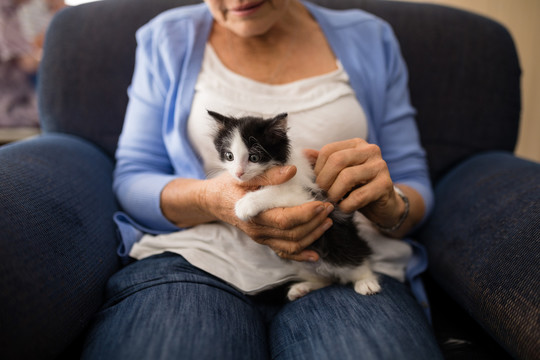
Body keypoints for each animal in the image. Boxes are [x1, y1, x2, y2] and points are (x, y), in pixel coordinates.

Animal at [207, 110, 380, 300]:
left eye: (254, 157)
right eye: (229, 156)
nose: (238, 173)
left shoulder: (311, 196)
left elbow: (278, 192)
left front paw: (246, 204)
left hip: (342, 246)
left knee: (356, 261)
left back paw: (367, 282)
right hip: (301, 263)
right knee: (325, 279)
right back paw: (303, 287)